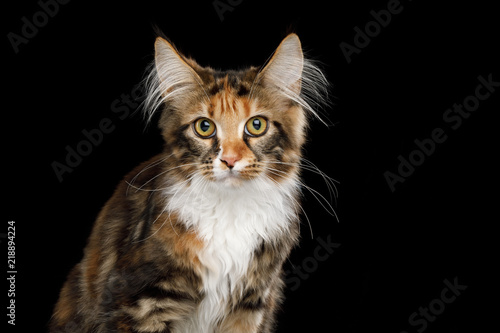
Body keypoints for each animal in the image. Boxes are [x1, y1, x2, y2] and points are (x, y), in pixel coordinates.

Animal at [49, 31, 332, 332]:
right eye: (204, 127)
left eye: (256, 125)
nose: (230, 160)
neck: (230, 210)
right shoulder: (138, 300)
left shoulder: (250, 305)